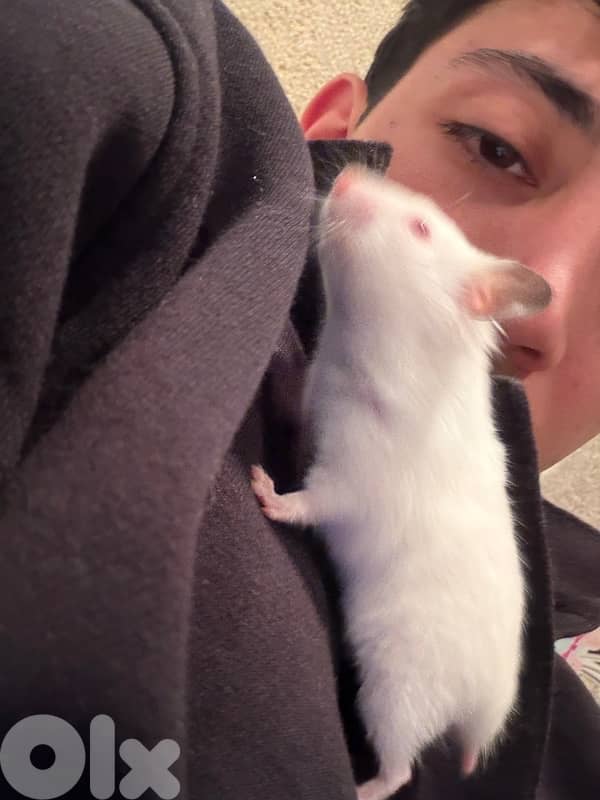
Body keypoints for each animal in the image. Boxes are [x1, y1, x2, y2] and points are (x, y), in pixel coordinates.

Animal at [250, 166, 552, 800]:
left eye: (419, 229)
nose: (346, 174)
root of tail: (480, 715)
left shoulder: (352, 481)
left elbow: (308, 502)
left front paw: (262, 486)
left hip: (395, 692)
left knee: (402, 769)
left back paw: (361, 786)